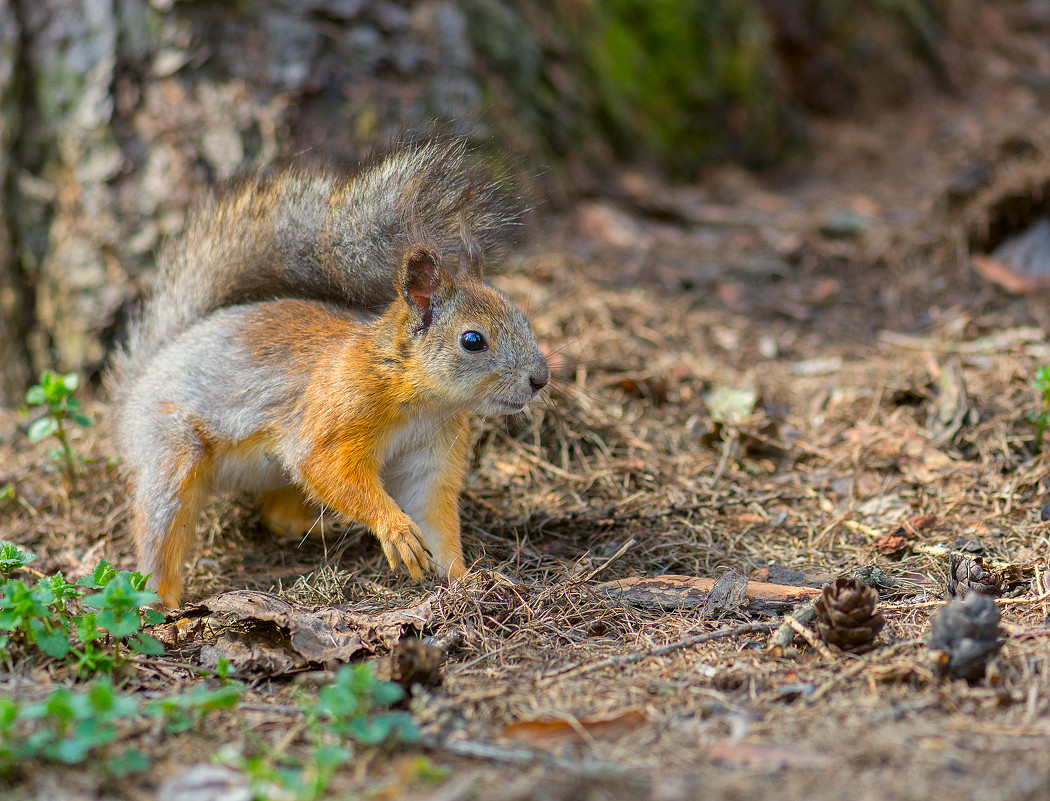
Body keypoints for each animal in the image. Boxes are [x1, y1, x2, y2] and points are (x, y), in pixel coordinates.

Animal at [111, 142, 554, 608]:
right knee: (162, 533)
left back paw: (321, 528)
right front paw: (395, 529)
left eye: (521, 316)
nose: (540, 379)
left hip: (274, 474)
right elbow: (328, 469)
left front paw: (468, 580)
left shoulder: (431, 455)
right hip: (170, 453)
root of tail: (144, 375)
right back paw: (163, 603)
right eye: (472, 340)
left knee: (278, 514)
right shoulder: (335, 415)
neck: (422, 400)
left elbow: (434, 518)